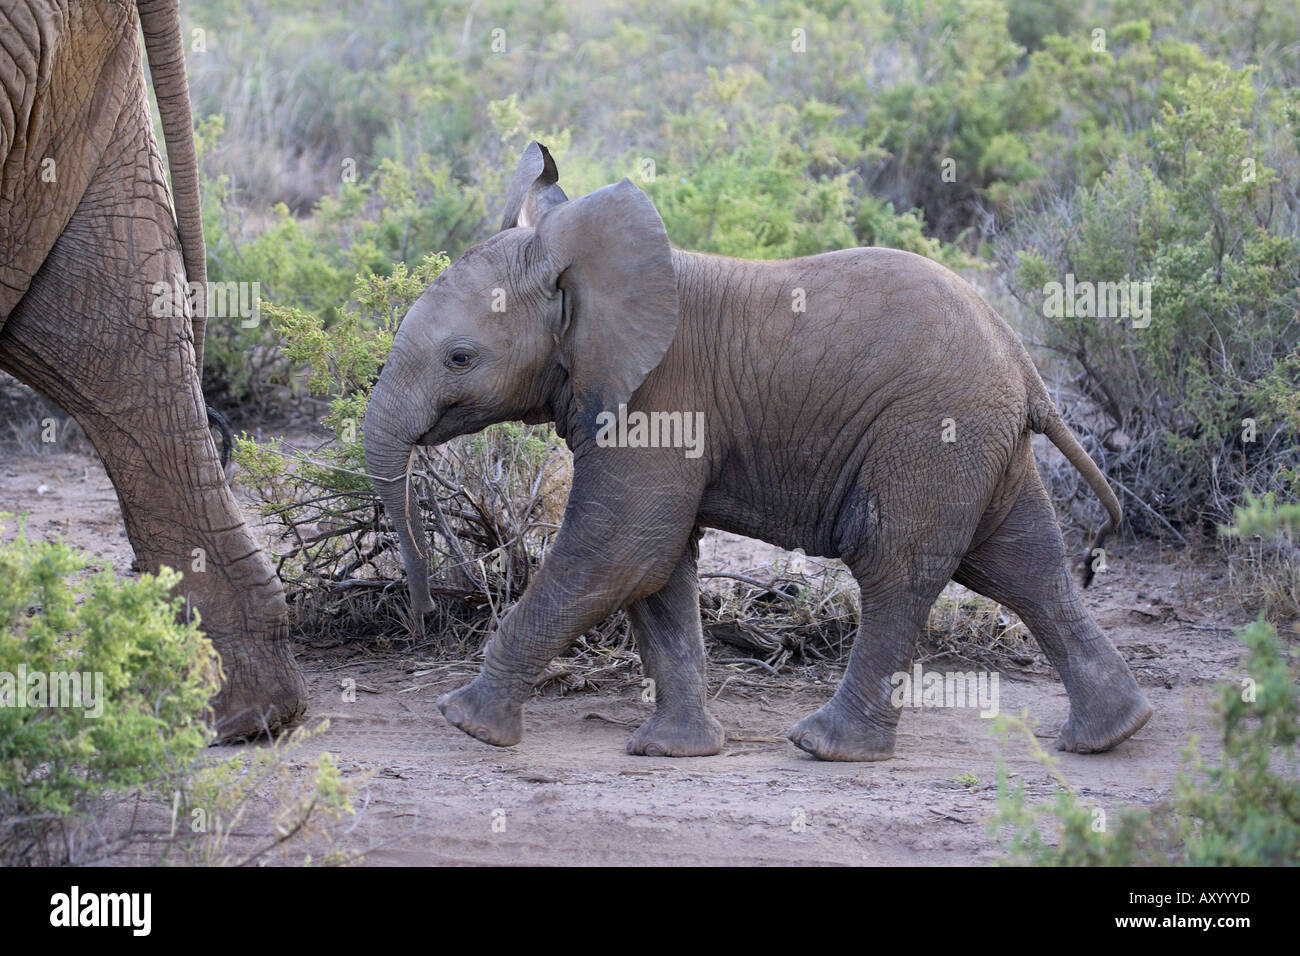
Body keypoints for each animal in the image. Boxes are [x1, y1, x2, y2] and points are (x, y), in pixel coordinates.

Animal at [364, 141, 1149, 764]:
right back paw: (1112, 734)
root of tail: (1024, 365)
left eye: (460, 357)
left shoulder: (659, 400)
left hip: (930, 430)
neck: (586, 270)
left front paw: (466, 725)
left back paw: (826, 747)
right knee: (1023, 566)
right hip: (981, 441)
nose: (424, 611)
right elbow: (656, 569)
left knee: (897, 567)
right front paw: (675, 752)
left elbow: (619, 552)